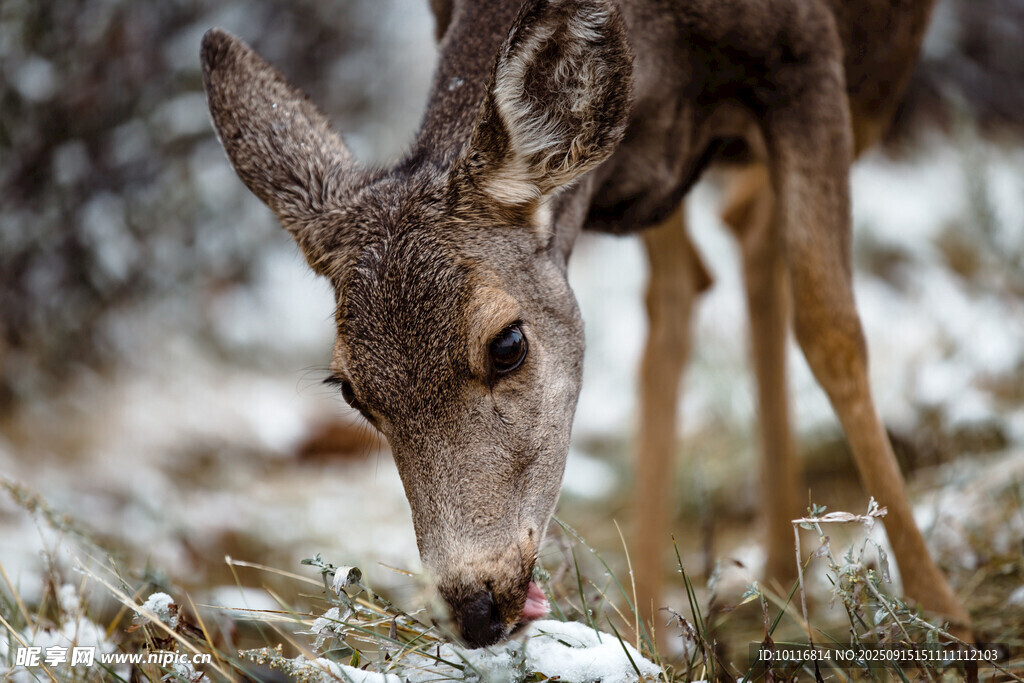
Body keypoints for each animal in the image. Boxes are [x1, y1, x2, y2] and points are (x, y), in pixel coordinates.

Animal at [201, 0, 971, 648]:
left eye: (507, 344)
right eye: (351, 391)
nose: (476, 609)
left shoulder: (806, 58)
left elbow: (830, 327)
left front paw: (943, 616)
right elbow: (671, 313)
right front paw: (644, 632)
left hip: (877, 78)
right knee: (724, 249)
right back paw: (775, 573)